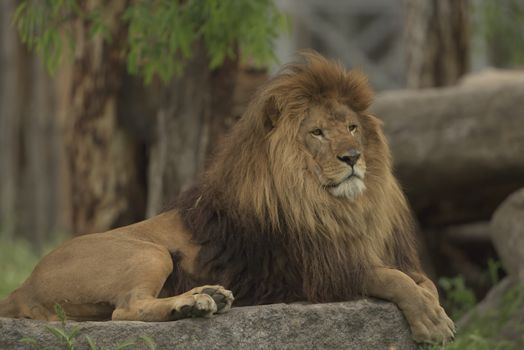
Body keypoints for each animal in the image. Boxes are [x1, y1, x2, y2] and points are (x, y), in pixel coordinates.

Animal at [1, 52, 454, 342]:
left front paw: (436, 310)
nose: (353, 158)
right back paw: (194, 303)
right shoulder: (320, 272)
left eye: (352, 127)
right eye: (317, 132)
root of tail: (22, 286)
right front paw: (431, 322)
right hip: (148, 252)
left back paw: (208, 298)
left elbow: (424, 280)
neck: (335, 206)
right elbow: (393, 279)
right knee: (126, 309)